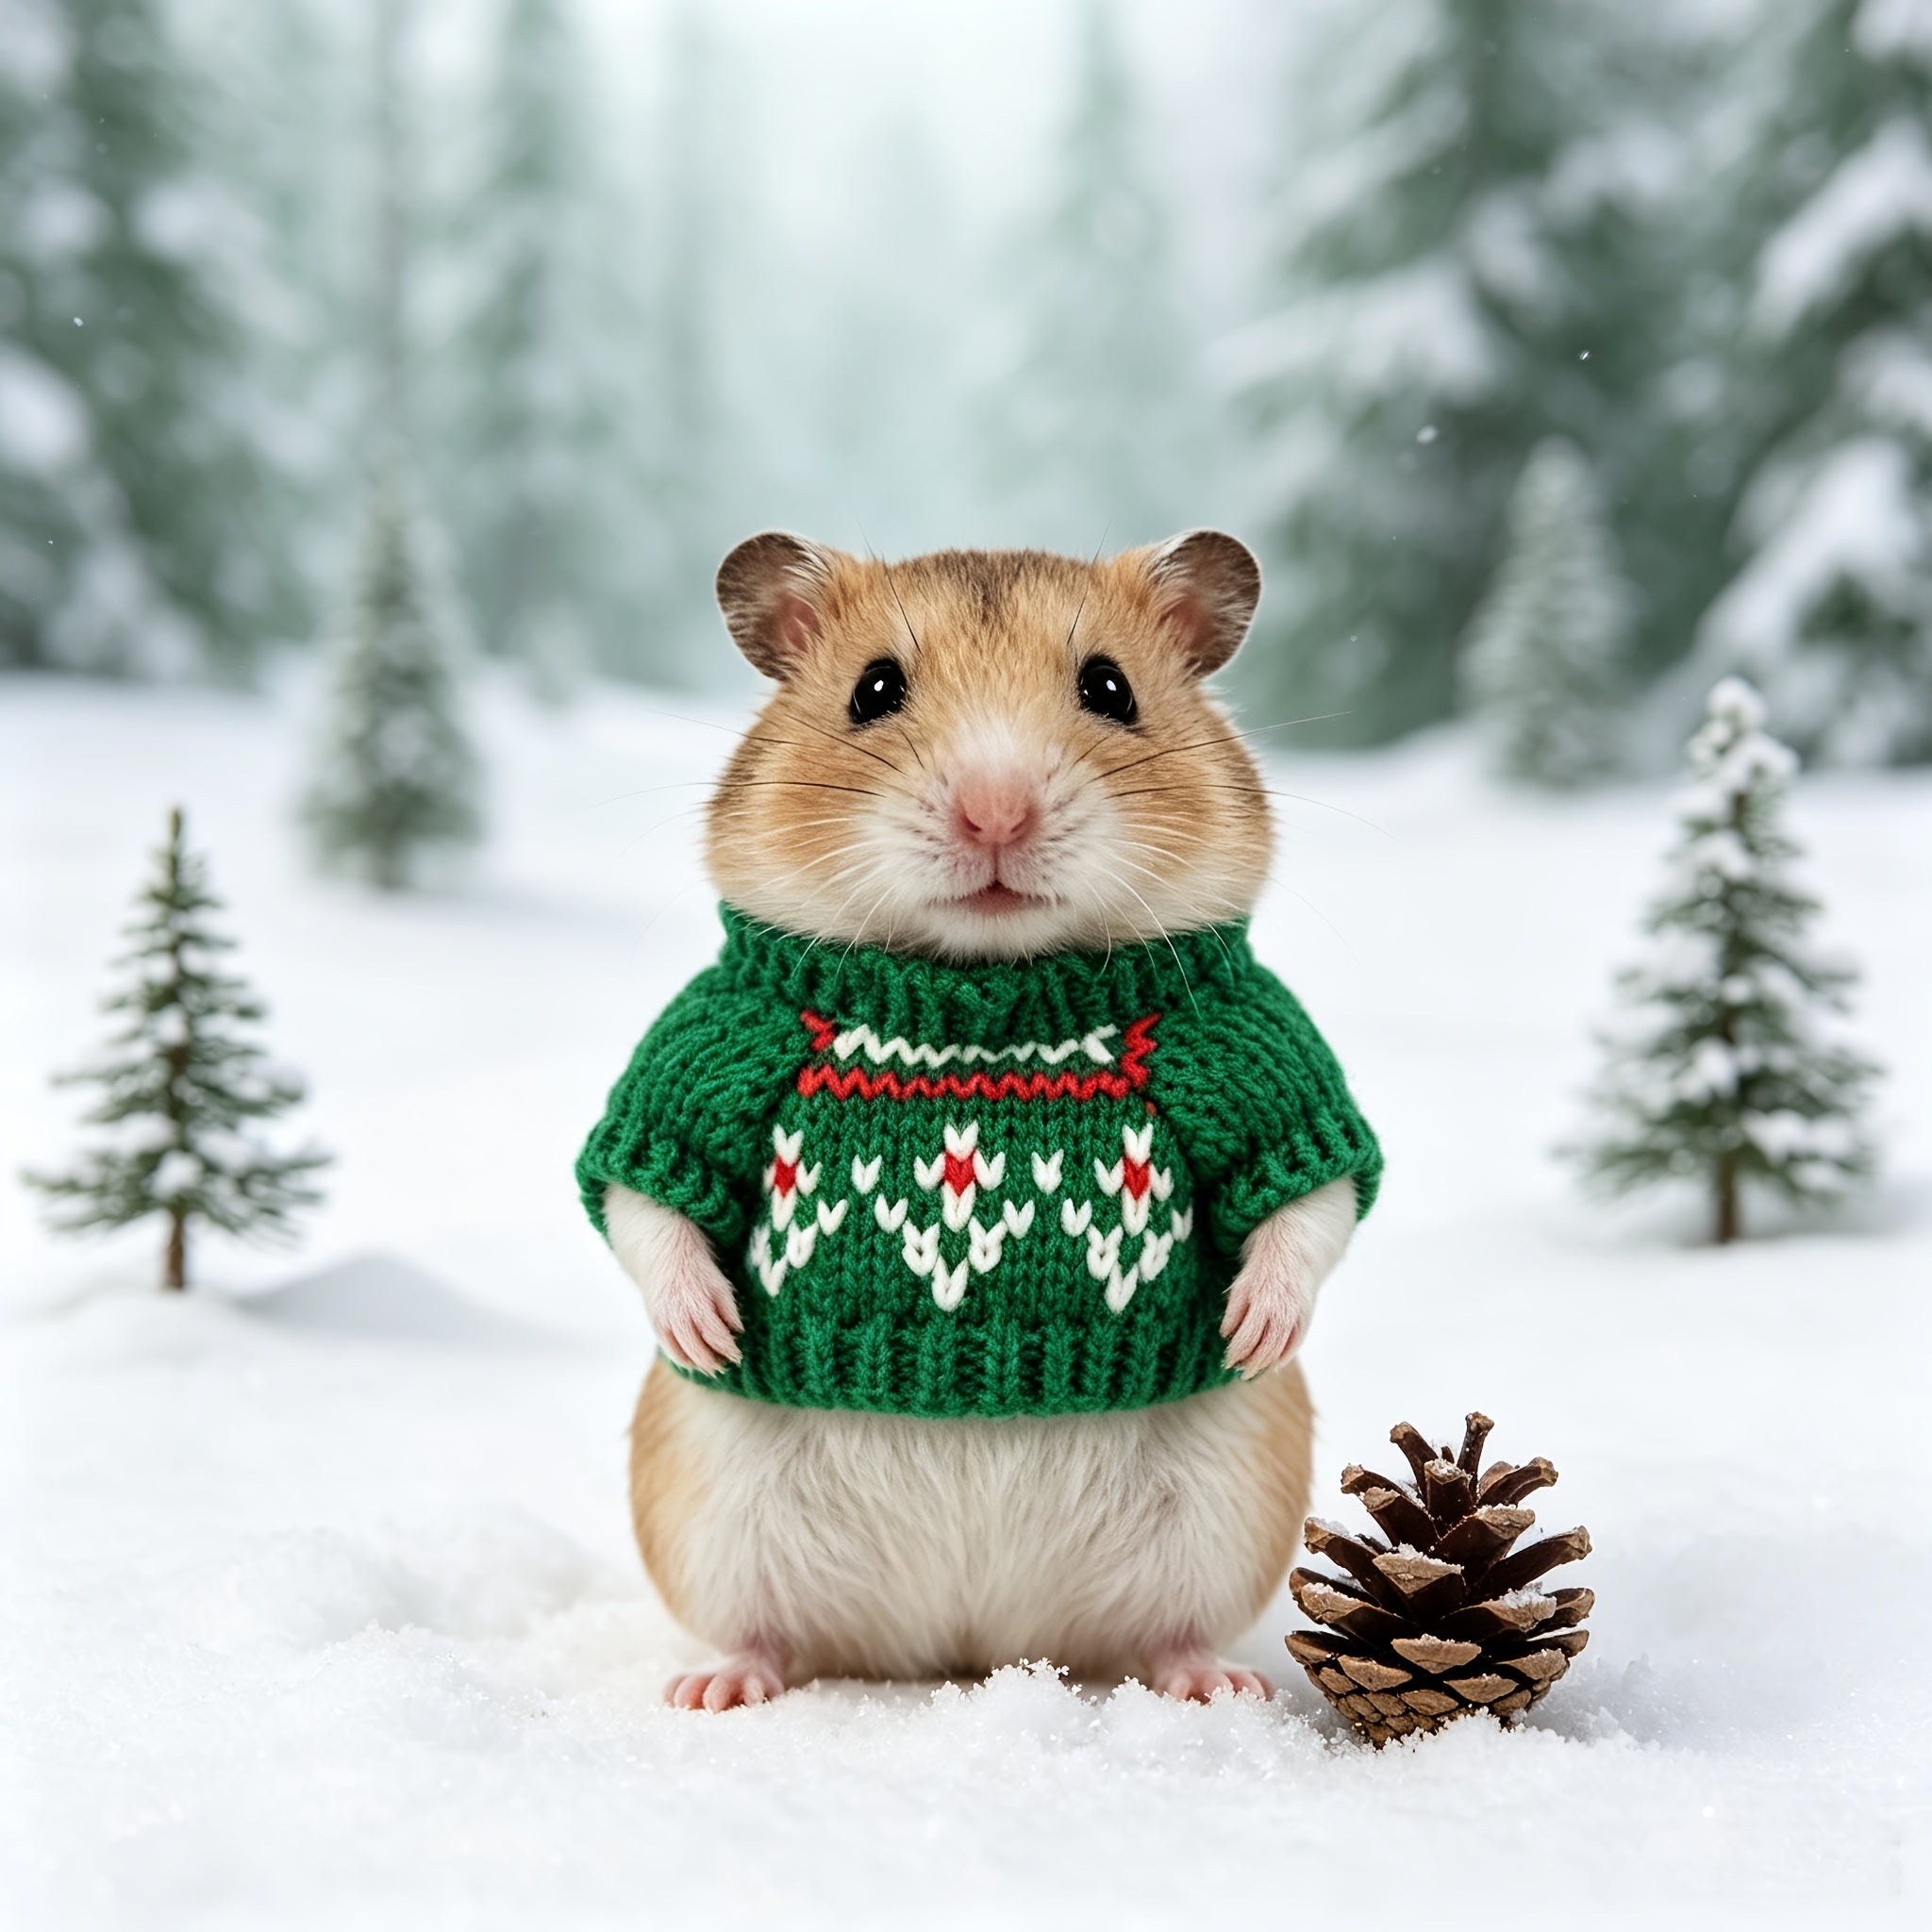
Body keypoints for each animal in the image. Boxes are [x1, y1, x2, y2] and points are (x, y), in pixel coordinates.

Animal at [601, 532, 1369, 1708]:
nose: (995, 812)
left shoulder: (1258, 1056)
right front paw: (708, 1326)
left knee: (1172, 1631)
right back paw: (714, 1688)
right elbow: (642, 1197)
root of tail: (968, 1645)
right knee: (763, 1633)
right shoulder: (705, 1050)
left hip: (1228, 1504)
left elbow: (1315, 1193)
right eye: (873, 690)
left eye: (1110, 688)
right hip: (709, 1511)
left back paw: (1219, 1684)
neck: (983, 987)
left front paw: (1253, 1326)